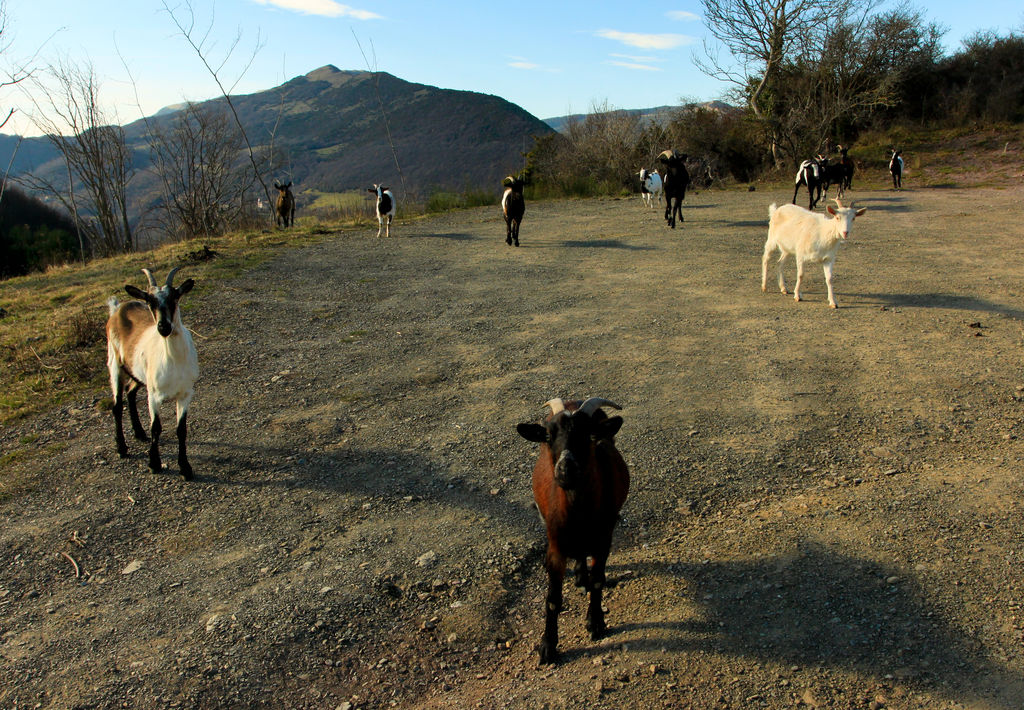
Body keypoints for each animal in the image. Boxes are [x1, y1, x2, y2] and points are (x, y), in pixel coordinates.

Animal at [105, 268, 199, 479]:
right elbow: (156, 428)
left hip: (138, 373)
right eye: (149, 301)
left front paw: (185, 468)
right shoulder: (153, 395)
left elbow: (181, 429)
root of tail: (117, 309)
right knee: (117, 405)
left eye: (175, 297)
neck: (173, 360)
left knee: (130, 392)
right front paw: (154, 463)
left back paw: (139, 433)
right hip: (115, 364)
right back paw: (121, 448)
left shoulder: (185, 393)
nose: (163, 326)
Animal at [516, 395, 626, 663]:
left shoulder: (603, 540)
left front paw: (595, 623)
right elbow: (553, 600)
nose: (566, 470)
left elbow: (597, 582)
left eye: (588, 434)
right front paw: (547, 646)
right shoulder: (556, 546)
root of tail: (573, 401)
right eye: (548, 435)